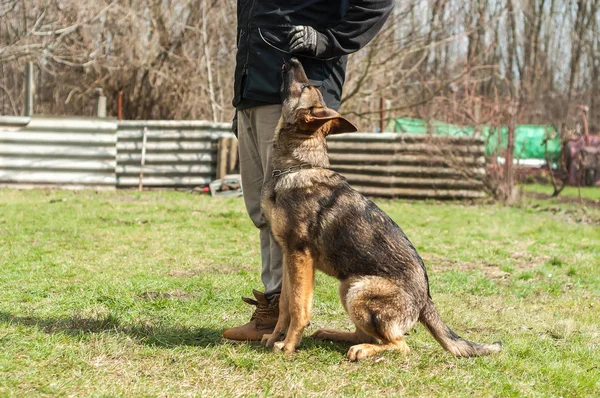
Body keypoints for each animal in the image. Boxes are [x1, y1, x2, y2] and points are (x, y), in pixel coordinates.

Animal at [260, 58, 500, 360]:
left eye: (305, 87)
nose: (293, 58)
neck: (298, 166)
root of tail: (426, 300)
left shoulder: (299, 256)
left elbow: (299, 307)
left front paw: (290, 346)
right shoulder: (289, 255)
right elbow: (284, 305)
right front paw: (274, 338)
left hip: (358, 291)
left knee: (398, 344)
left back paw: (361, 350)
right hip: (347, 286)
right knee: (366, 334)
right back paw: (332, 334)